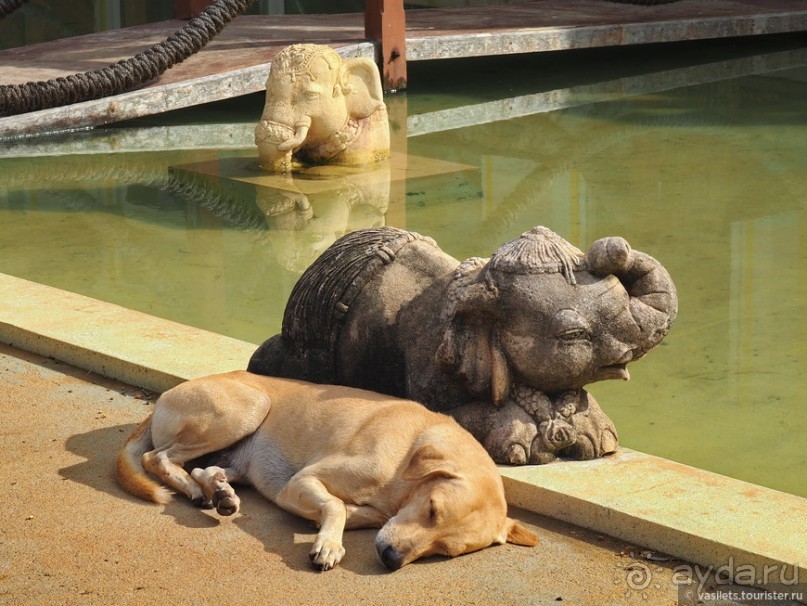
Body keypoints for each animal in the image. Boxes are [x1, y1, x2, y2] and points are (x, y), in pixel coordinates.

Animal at [115, 368, 536, 572]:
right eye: (433, 510)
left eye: (445, 552)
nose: (391, 559)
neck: (408, 454)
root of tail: (165, 398)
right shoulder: (301, 481)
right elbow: (334, 505)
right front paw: (328, 545)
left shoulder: (370, 512)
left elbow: (347, 511)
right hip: (248, 407)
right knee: (157, 458)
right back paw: (192, 489)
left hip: (239, 454)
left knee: (208, 469)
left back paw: (219, 491)